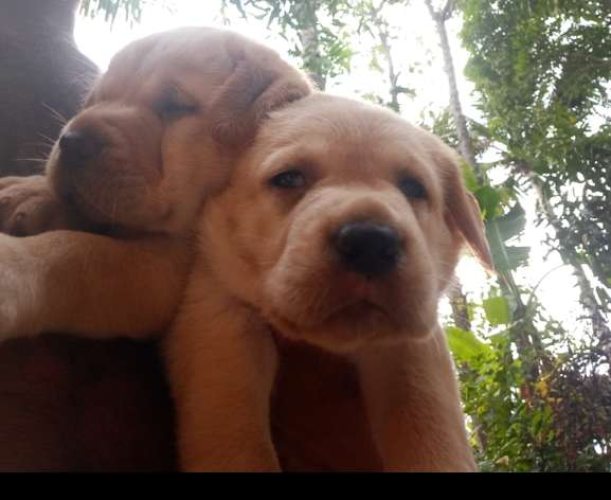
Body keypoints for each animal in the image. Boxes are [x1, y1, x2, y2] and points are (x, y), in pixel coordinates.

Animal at [0, 26, 310, 344]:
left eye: (173, 106)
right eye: (98, 98)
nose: (72, 141)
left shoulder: (165, 269)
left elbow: (77, 253)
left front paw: (9, 264)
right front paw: (27, 191)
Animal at [166, 92, 492, 470]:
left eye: (413, 187)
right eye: (288, 178)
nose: (370, 243)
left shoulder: (413, 353)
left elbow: (430, 433)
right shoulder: (220, 320)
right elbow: (234, 435)